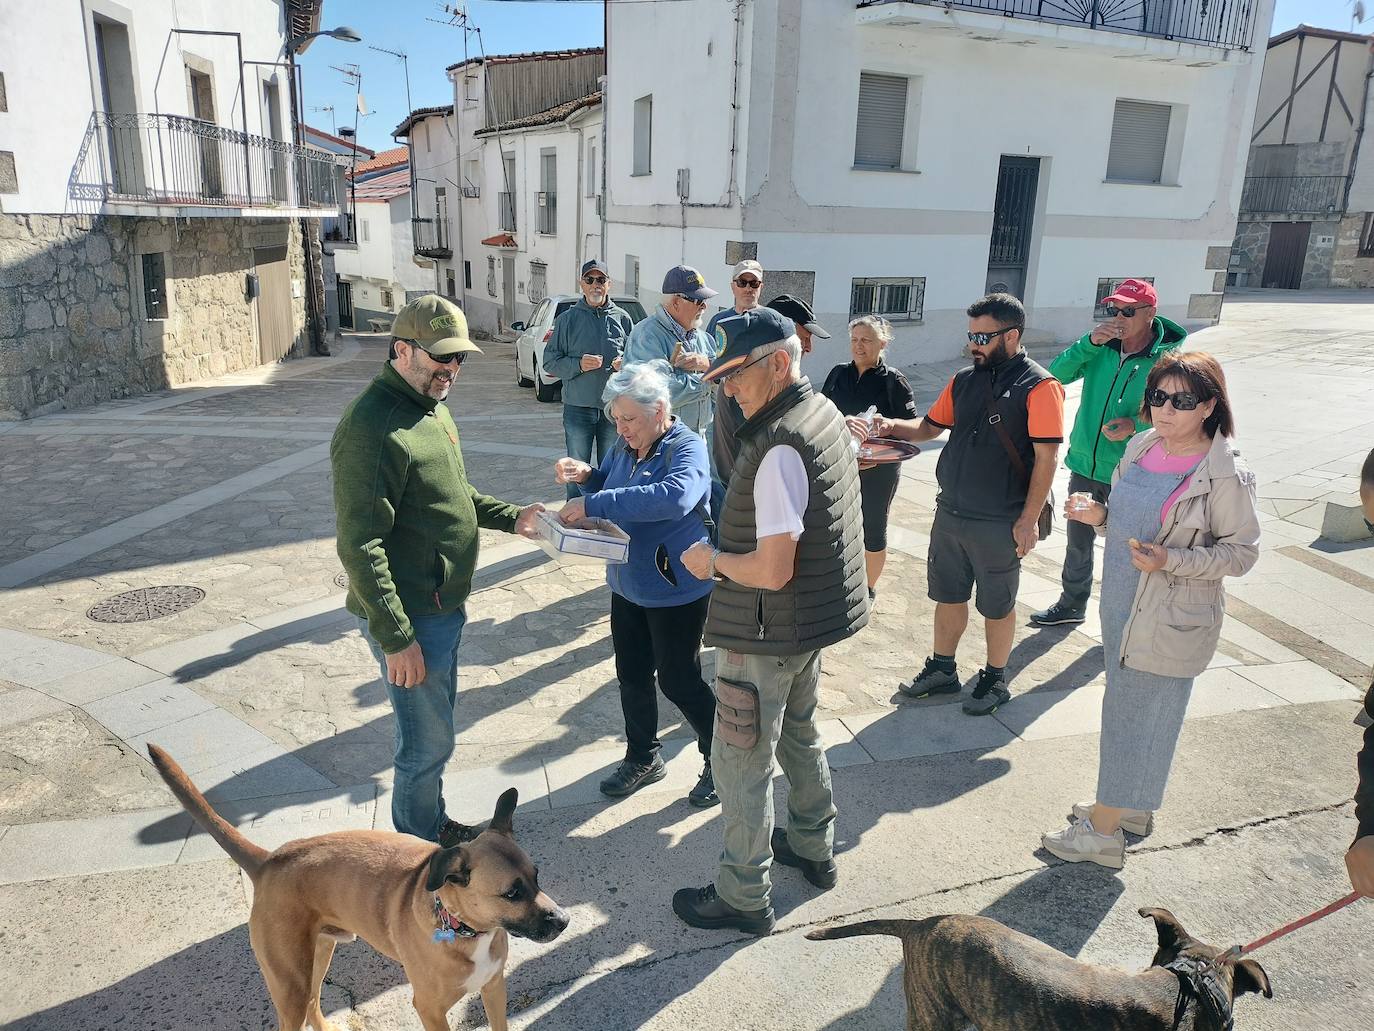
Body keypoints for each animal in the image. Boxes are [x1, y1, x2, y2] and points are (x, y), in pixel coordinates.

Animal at [153, 742, 571, 1031]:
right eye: (511, 892)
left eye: (537, 876)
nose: (564, 921)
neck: (462, 927)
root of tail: (270, 859)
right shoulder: (431, 1010)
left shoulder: (494, 988)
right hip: (289, 983)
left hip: (317, 957)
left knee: (313, 1003)